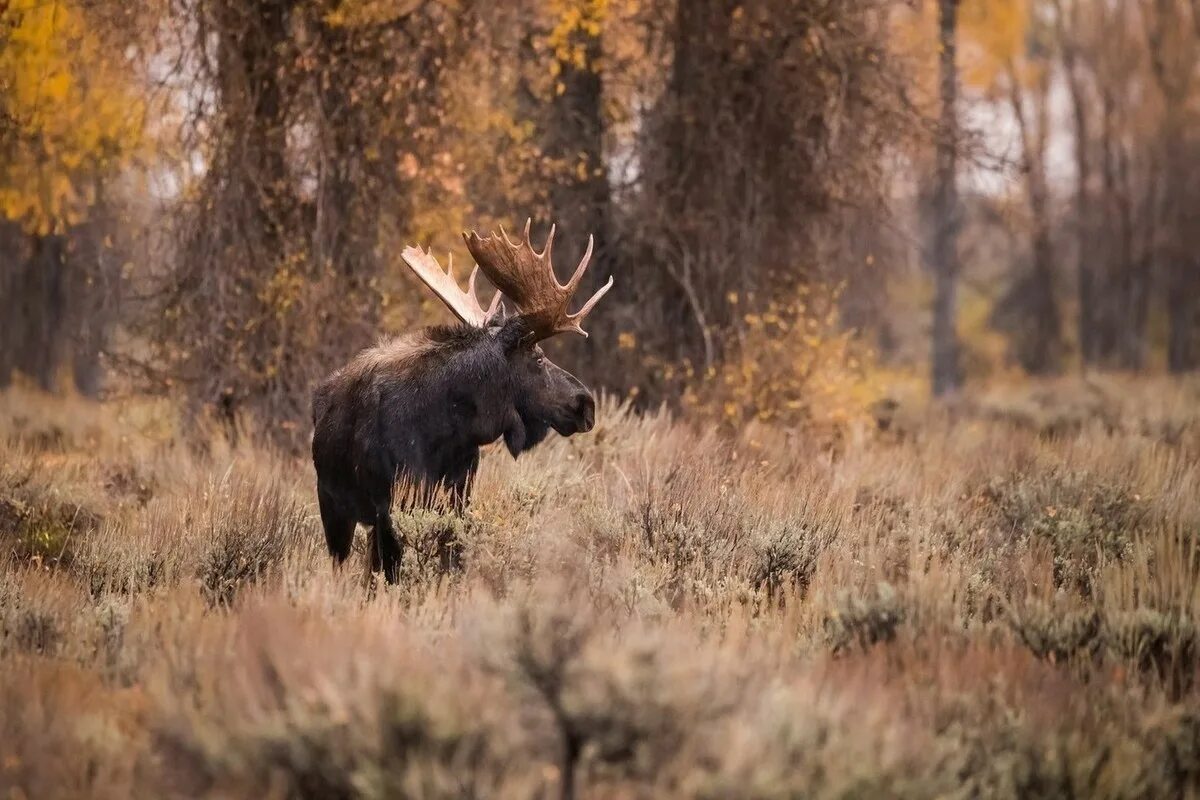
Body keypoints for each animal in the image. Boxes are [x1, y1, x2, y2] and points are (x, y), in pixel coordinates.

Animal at [312, 221, 609, 585]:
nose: (585, 403)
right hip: (333, 507)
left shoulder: (458, 496)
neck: (448, 429)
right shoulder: (390, 505)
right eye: (538, 358)